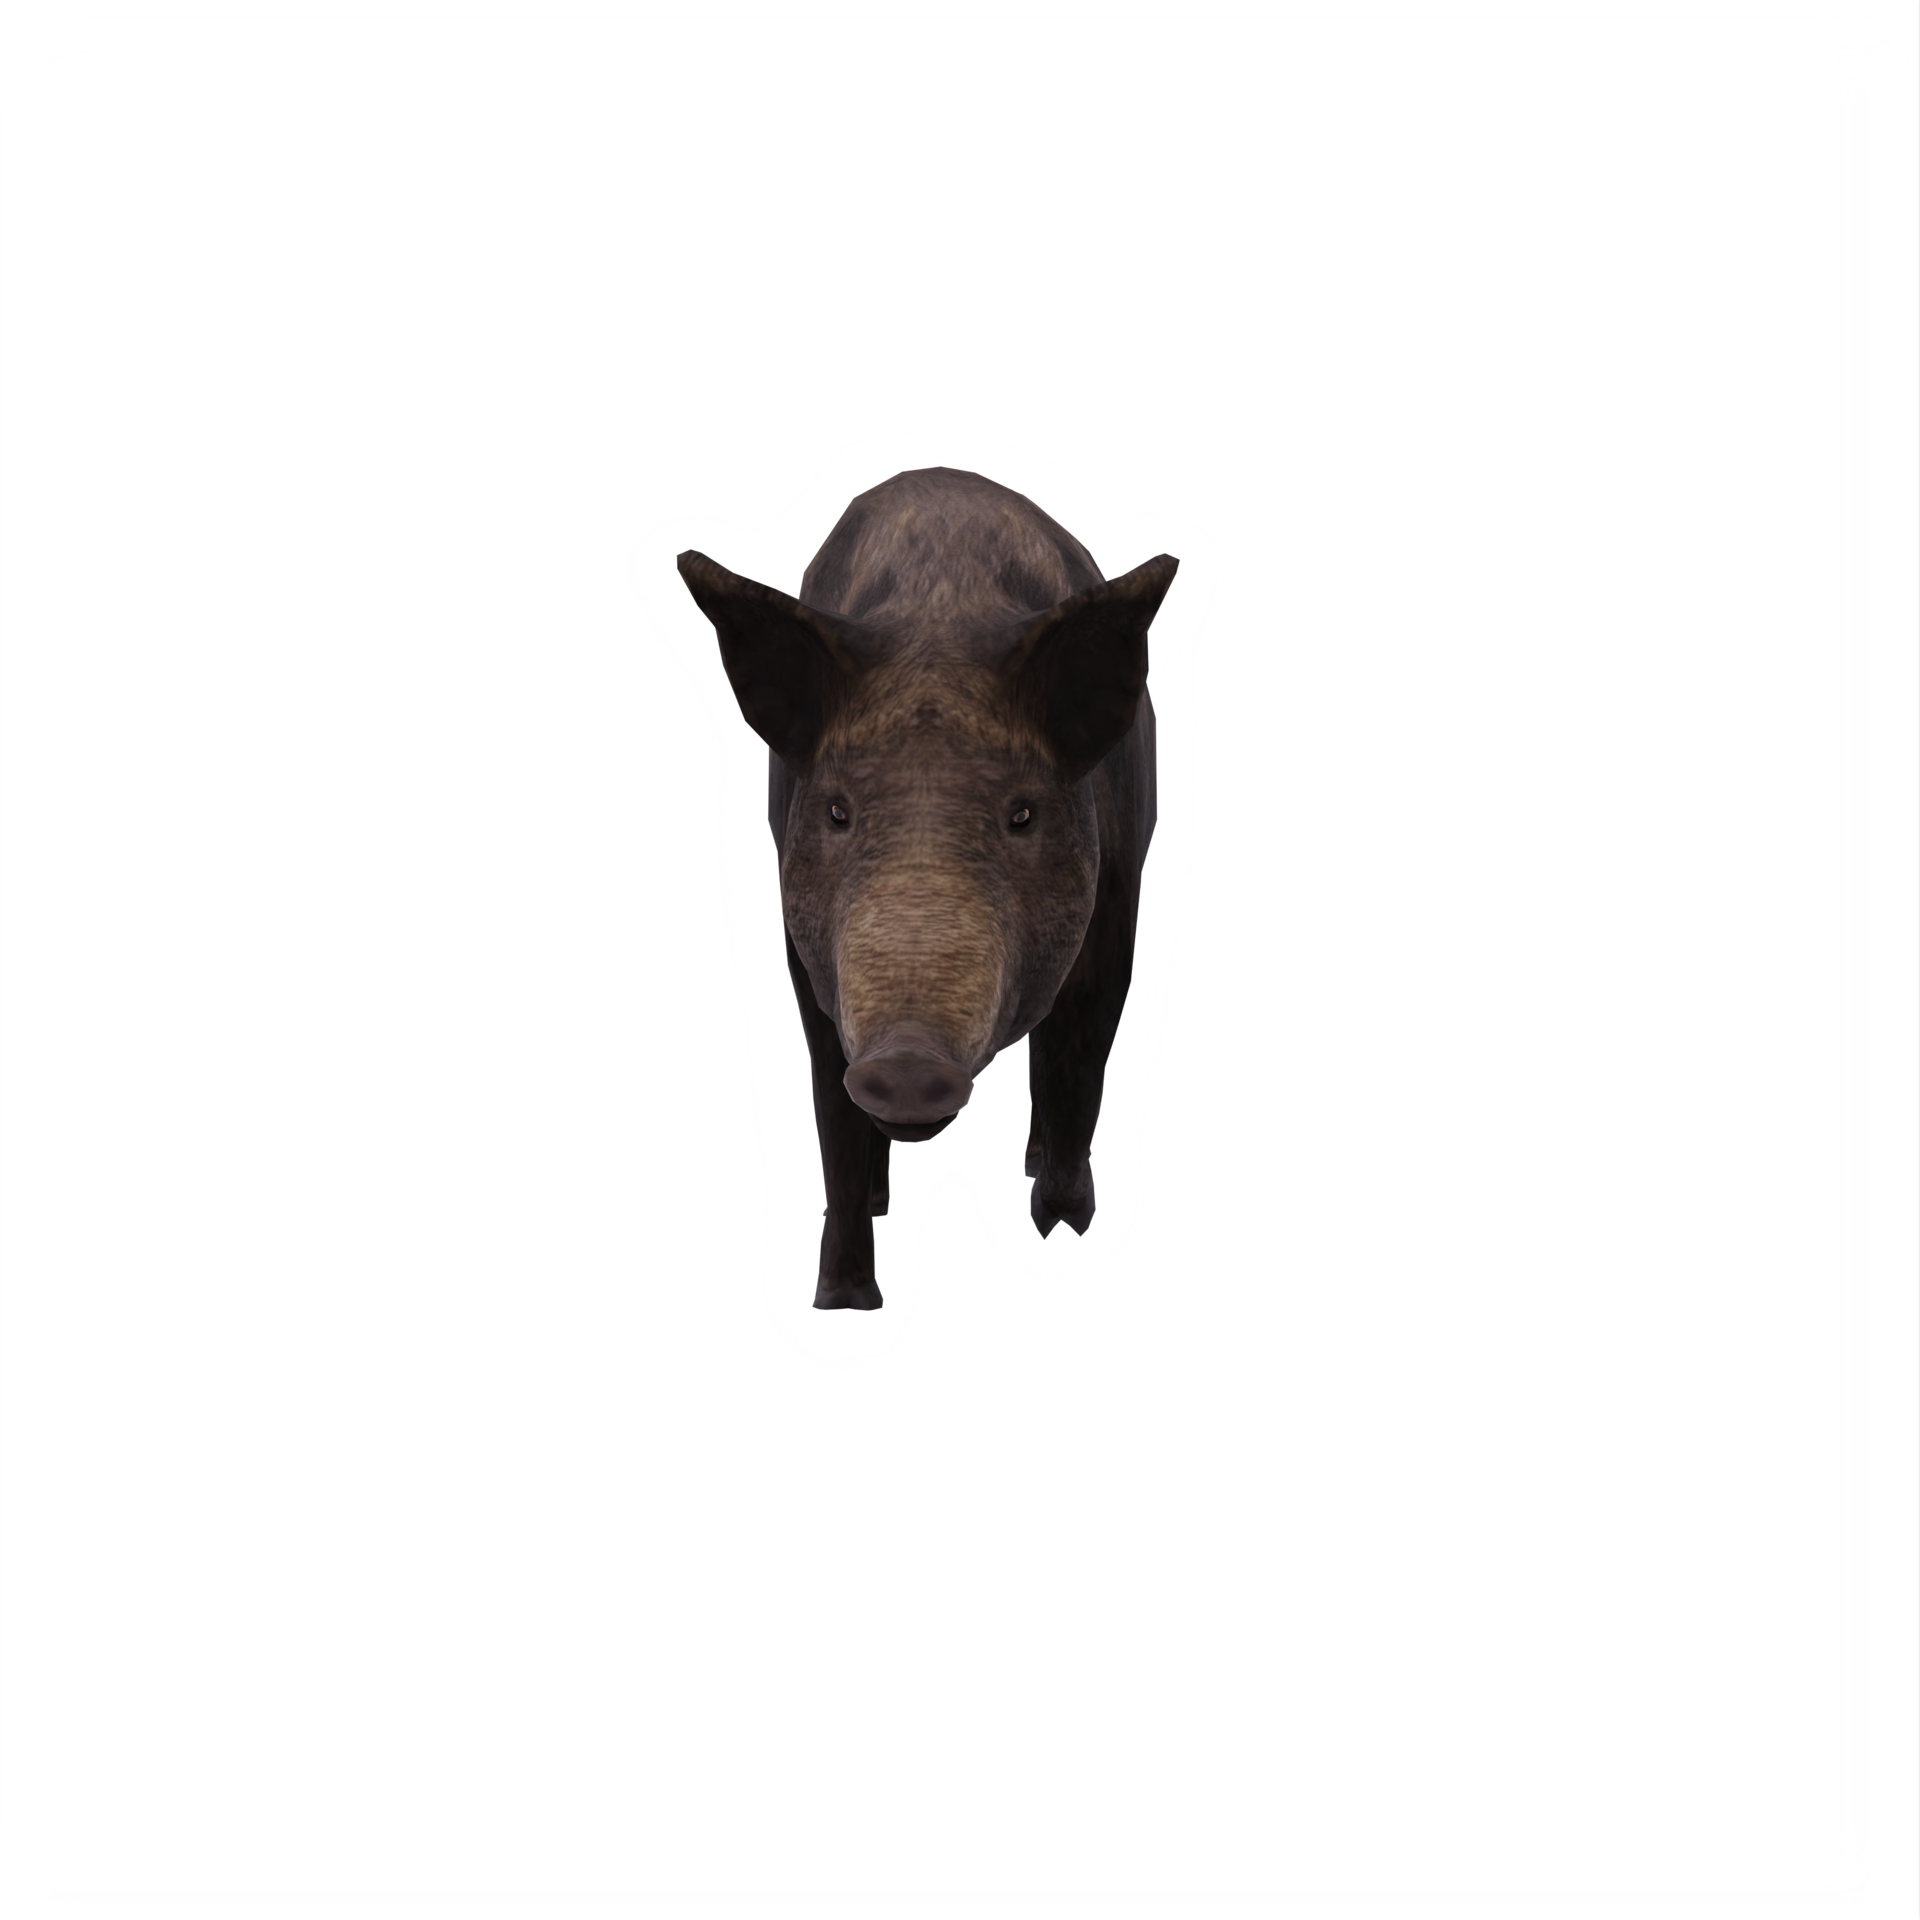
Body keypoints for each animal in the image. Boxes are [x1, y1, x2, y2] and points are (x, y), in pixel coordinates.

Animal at [674, 466, 1178, 1311]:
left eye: (1022, 814)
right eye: (838, 811)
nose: (907, 1060)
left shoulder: (1114, 910)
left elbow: (1078, 1059)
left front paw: (1061, 1228)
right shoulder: (809, 966)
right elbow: (835, 1118)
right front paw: (843, 1302)